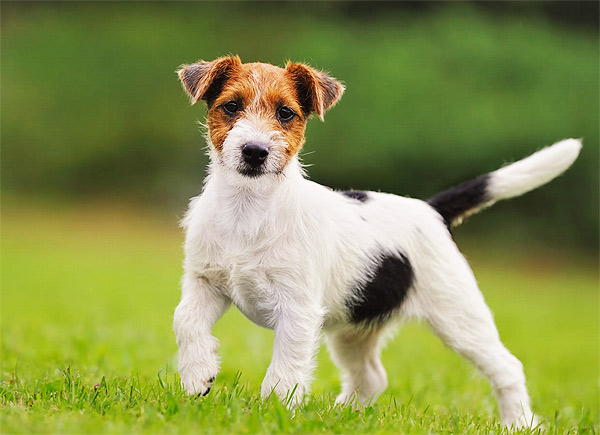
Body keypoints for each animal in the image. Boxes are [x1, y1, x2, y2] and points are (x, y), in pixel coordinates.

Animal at [172, 55, 580, 430]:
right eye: (231, 106)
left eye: (285, 113)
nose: (255, 151)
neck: (249, 208)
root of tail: (430, 209)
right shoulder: (204, 282)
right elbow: (185, 320)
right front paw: (197, 375)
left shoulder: (297, 310)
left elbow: (285, 368)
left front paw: (274, 411)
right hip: (355, 327)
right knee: (371, 377)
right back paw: (340, 415)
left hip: (459, 317)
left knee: (507, 367)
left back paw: (519, 422)